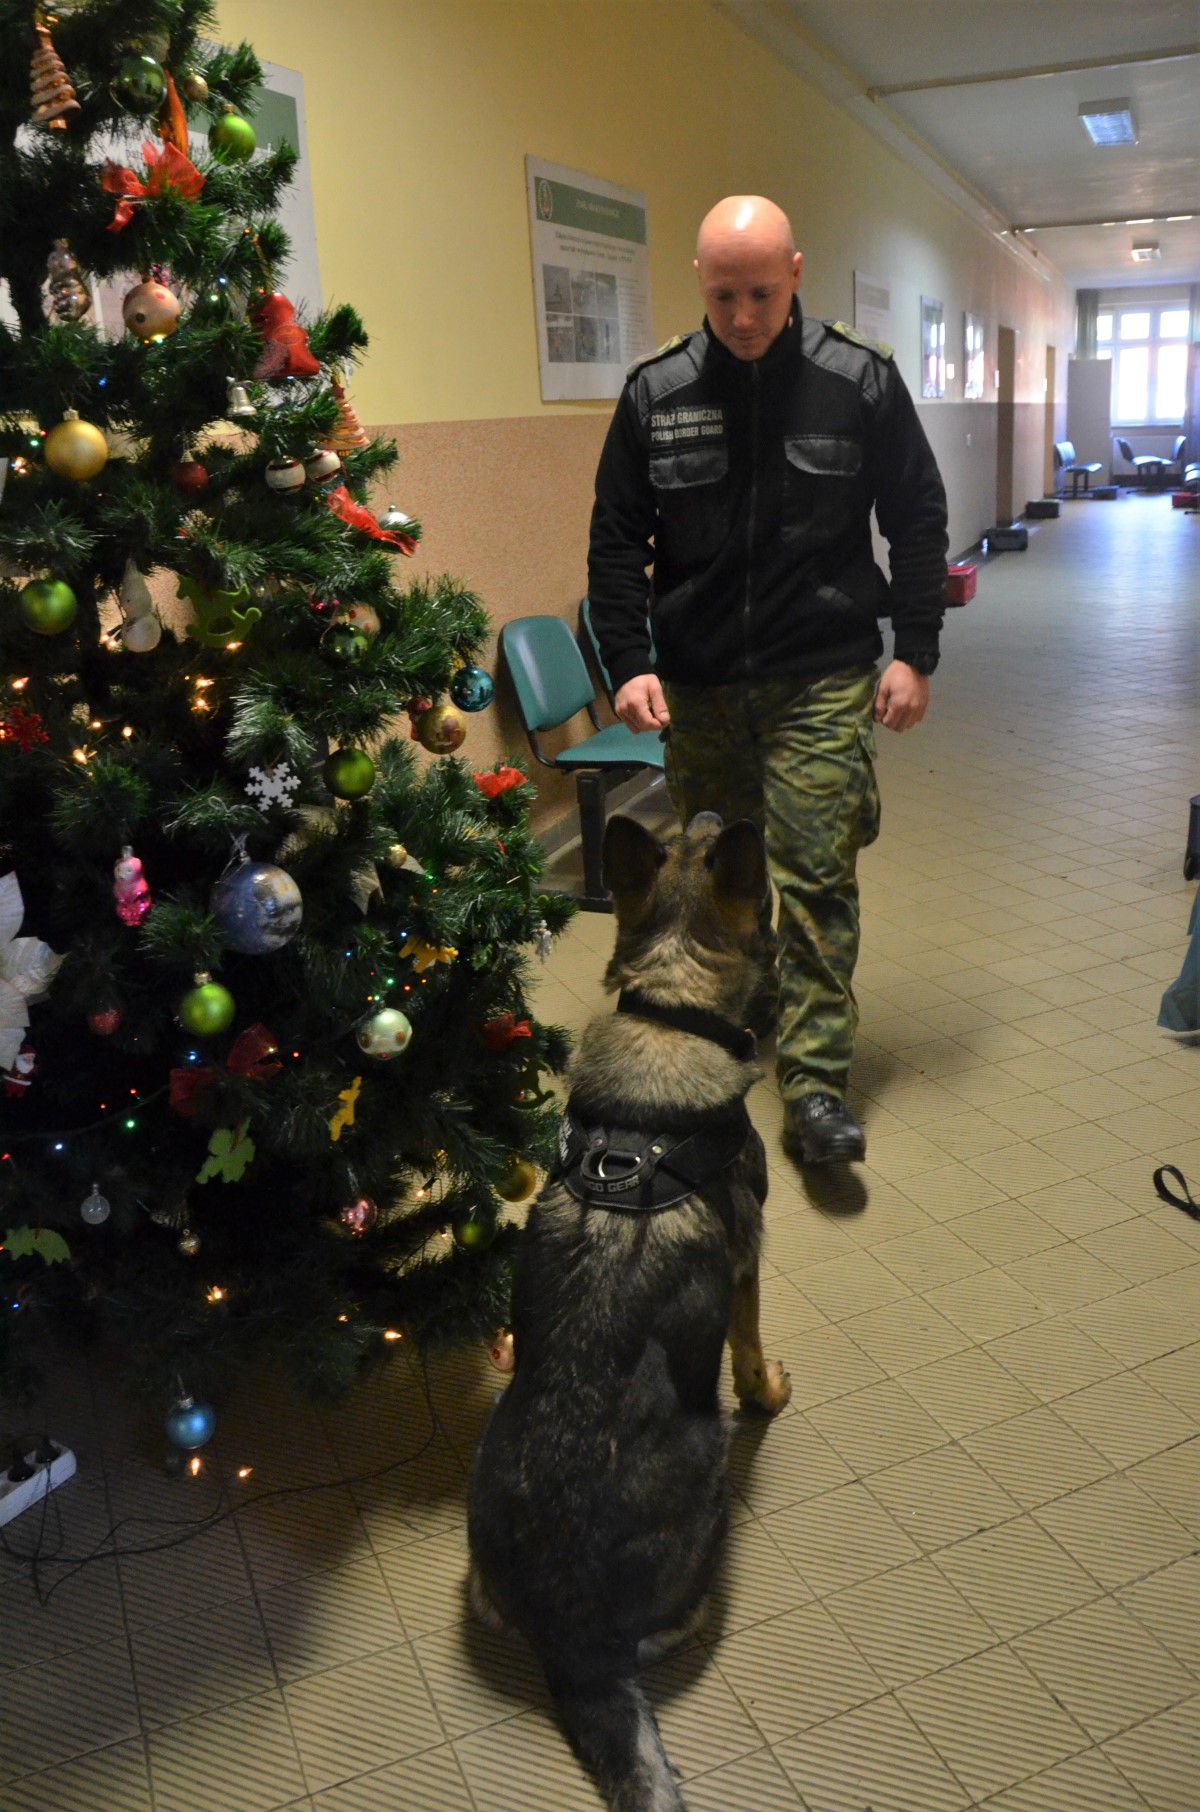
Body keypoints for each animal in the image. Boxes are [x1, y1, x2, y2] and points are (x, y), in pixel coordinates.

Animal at [471, 815, 797, 1812]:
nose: (717, 812)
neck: (669, 1008)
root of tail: (570, 1637)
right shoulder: (749, 1258)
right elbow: (750, 1349)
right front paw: (769, 1390)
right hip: (706, 1458)